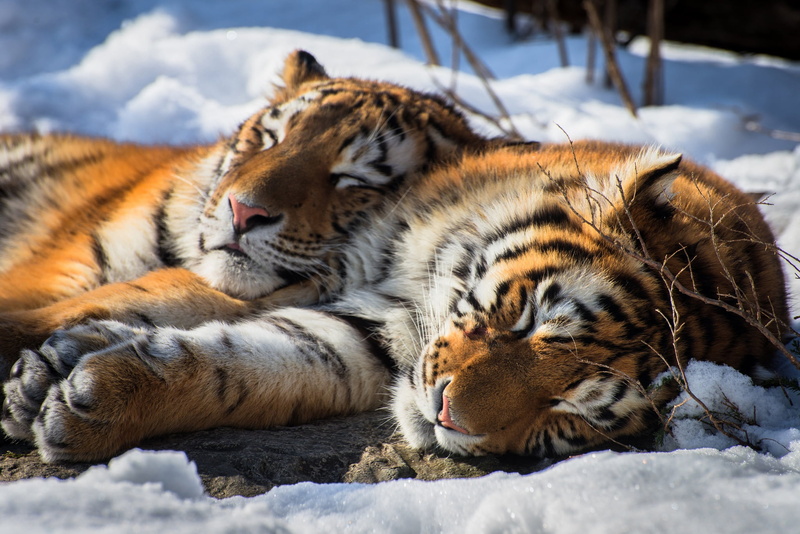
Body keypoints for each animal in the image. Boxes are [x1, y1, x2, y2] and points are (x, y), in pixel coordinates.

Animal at [2, 139, 787, 462]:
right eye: (528, 319)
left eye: (569, 414)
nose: (445, 414)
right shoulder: (327, 274)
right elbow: (157, 298)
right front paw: (49, 363)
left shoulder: (357, 339)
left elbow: (236, 367)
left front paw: (87, 402)